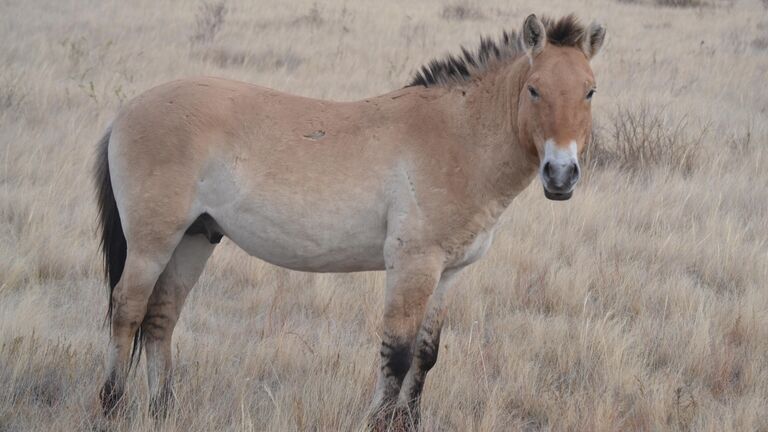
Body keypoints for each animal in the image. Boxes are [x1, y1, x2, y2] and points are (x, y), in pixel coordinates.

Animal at [93, 13, 604, 428]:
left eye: (589, 92)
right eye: (534, 89)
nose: (561, 176)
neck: (458, 138)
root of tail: (126, 111)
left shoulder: (448, 273)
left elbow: (426, 354)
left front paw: (408, 422)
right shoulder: (412, 266)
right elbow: (397, 353)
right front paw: (378, 422)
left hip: (195, 240)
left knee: (161, 317)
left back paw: (164, 410)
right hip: (152, 244)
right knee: (127, 310)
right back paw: (113, 406)